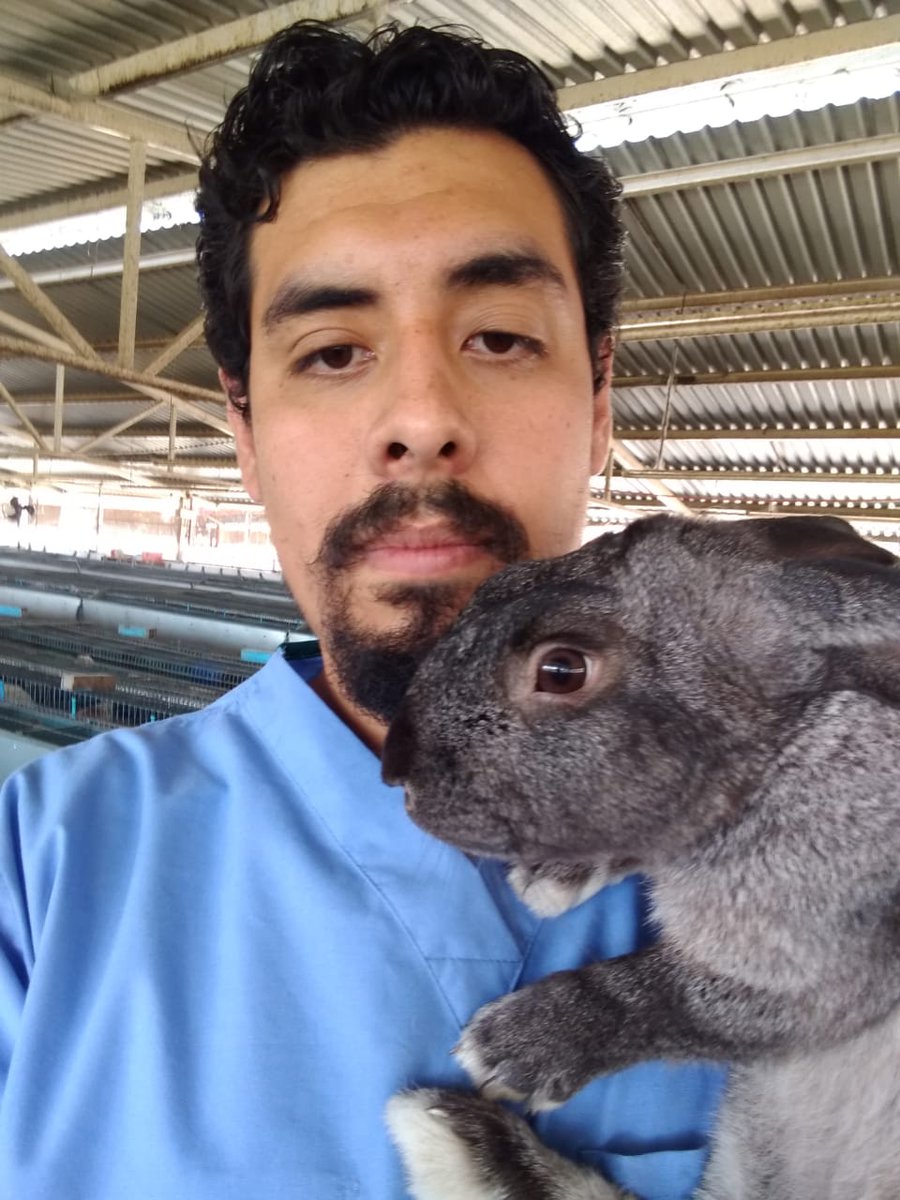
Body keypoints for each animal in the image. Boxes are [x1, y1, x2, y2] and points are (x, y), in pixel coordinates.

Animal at [381, 514, 900, 1200]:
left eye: (563, 669)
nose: (394, 769)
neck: (777, 751)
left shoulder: (819, 973)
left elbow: (668, 999)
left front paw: (508, 1050)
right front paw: (551, 878)